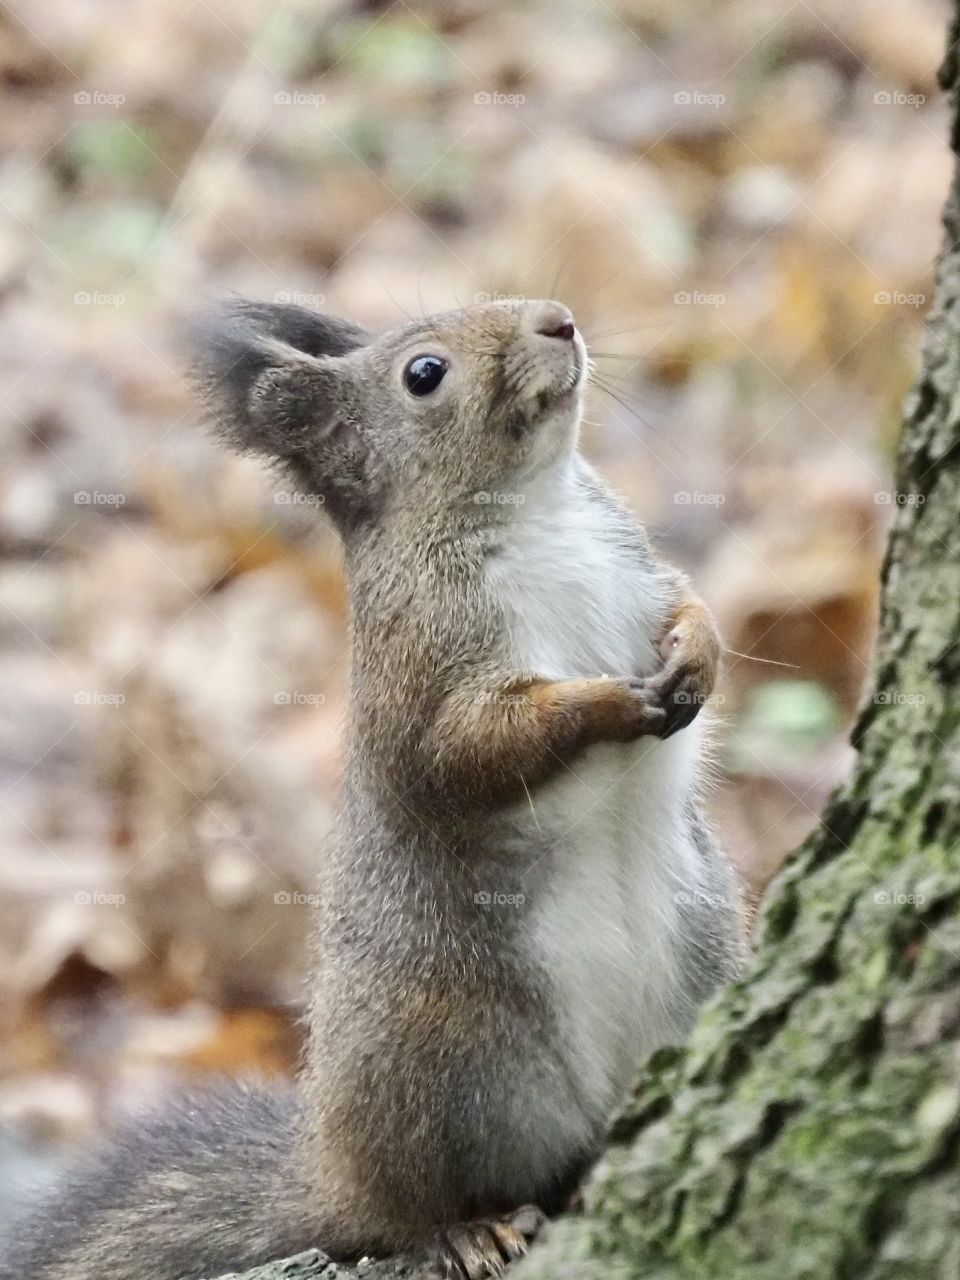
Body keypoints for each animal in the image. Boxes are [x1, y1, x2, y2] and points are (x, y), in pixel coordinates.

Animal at [1, 298, 744, 1280]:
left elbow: (689, 603)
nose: (558, 320)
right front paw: (605, 703)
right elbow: (469, 748)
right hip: (432, 1061)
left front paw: (695, 655)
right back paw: (460, 1228)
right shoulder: (417, 671)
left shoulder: (634, 564)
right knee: (403, 1210)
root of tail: (329, 1175)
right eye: (424, 374)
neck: (536, 514)